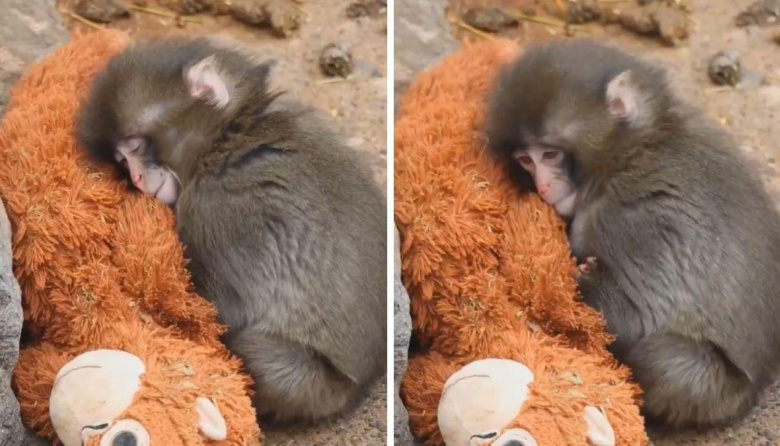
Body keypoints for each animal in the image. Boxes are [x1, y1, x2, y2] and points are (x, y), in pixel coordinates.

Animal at [76, 36, 387, 424]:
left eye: (134, 146)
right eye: (121, 160)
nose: (135, 177)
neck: (226, 140)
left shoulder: (213, 208)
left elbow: (223, 312)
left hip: (311, 387)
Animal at [485, 38, 780, 429]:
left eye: (550, 154)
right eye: (525, 160)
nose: (544, 186)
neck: (630, 150)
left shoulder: (633, 219)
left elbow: (639, 318)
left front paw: (583, 281)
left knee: (668, 362)